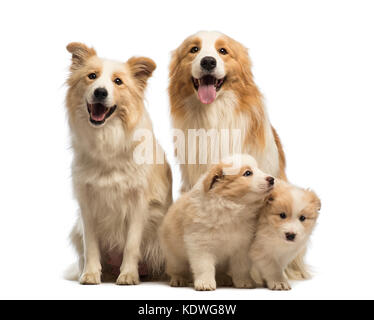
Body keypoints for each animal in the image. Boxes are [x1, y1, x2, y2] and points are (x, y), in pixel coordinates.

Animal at [65, 42, 172, 284]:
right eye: (91, 76)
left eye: (118, 81)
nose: (100, 92)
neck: (107, 139)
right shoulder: (87, 202)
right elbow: (91, 245)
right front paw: (90, 274)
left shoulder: (138, 202)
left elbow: (131, 244)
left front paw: (129, 275)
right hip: (75, 229)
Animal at [159, 154, 274, 292]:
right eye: (247, 173)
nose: (272, 179)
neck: (230, 208)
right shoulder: (201, 246)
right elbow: (204, 267)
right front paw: (205, 284)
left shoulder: (242, 247)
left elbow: (241, 267)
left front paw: (244, 282)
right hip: (175, 258)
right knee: (175, 270)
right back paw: (179, 280)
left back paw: (223, 278)